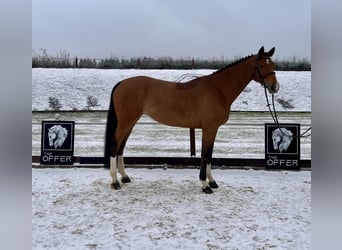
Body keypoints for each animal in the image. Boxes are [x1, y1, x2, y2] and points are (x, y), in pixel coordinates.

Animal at [105, 47, 280, 195]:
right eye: (261, 65)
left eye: (273, 64)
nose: (274, 87)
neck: (218, 90)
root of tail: (121, 83)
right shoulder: (209, 128)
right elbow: (205, 154)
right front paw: (205, 185)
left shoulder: (213, 129)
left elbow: (209, 155)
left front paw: (212, 182)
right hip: (126, 121)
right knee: (115, 144)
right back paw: (115, 182)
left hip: (131, 122)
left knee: (121, 147)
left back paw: (124, 177)